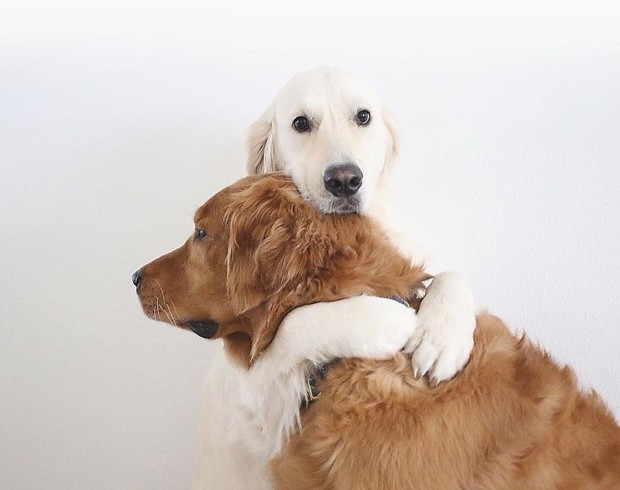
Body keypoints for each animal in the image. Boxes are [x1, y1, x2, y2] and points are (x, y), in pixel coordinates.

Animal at [191, 68, 472, 490]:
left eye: (363, 116)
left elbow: (454, 275)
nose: (344, 180)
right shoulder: (257, 397)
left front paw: (441, 339)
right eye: (300, 123)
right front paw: (389, 321)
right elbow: (293, 323)